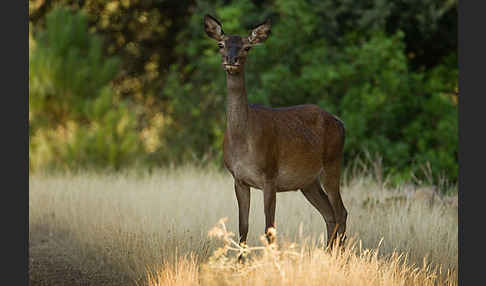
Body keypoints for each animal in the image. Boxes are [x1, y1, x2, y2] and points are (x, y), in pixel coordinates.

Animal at [203, 13, 348, 250]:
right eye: (220, 44)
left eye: (247, 47)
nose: (231, 60)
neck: (242, 141)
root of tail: (341, 123)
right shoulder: (238, 179)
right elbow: (243, 228)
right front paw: (241, 260)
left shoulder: (269, 175)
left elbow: (269, 229)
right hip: (308, 182)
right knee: (329, 214)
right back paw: (327, 253)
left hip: (332, 163)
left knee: (341, 212)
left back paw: (337, 255)